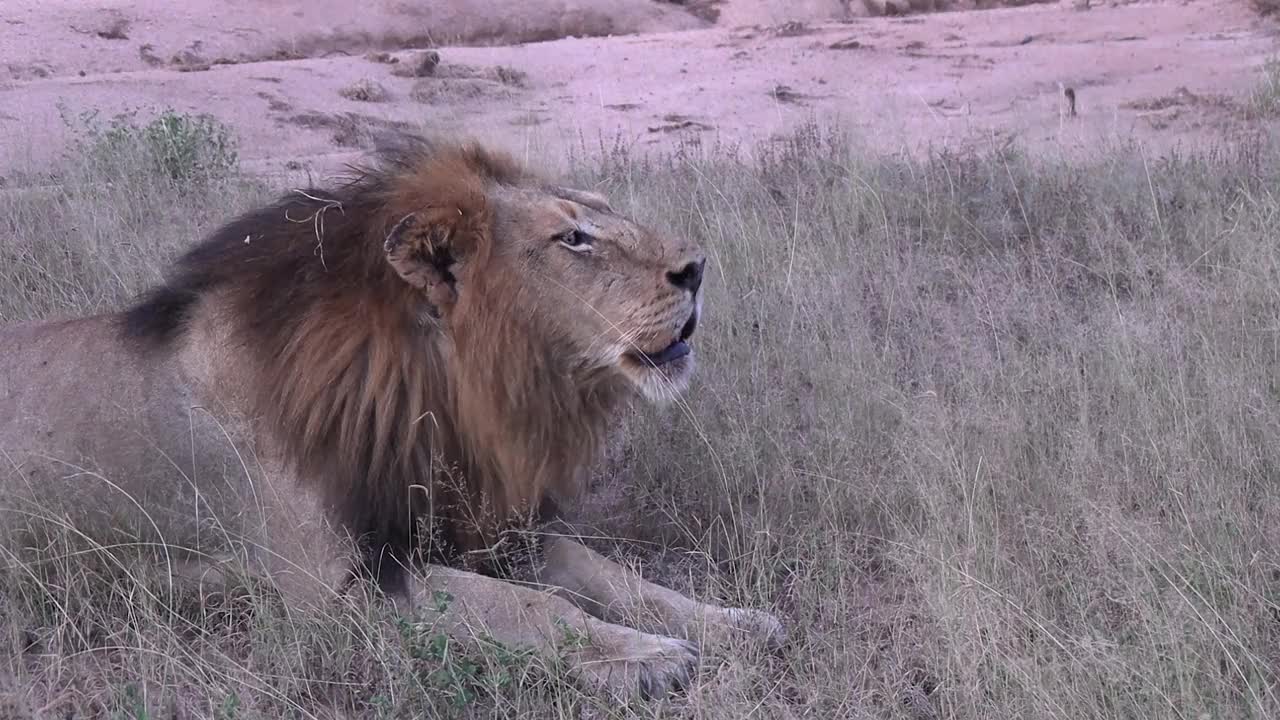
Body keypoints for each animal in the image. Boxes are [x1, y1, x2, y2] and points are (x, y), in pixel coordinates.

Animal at [0, 131, 783, 696]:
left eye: (604, 210)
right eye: (574, 238)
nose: (697, 268)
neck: (442, 393)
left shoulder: (489, 528)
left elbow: (614, 577)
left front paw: (733, 623)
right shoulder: (332, 588)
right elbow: (522, 606)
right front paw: (645, 657)